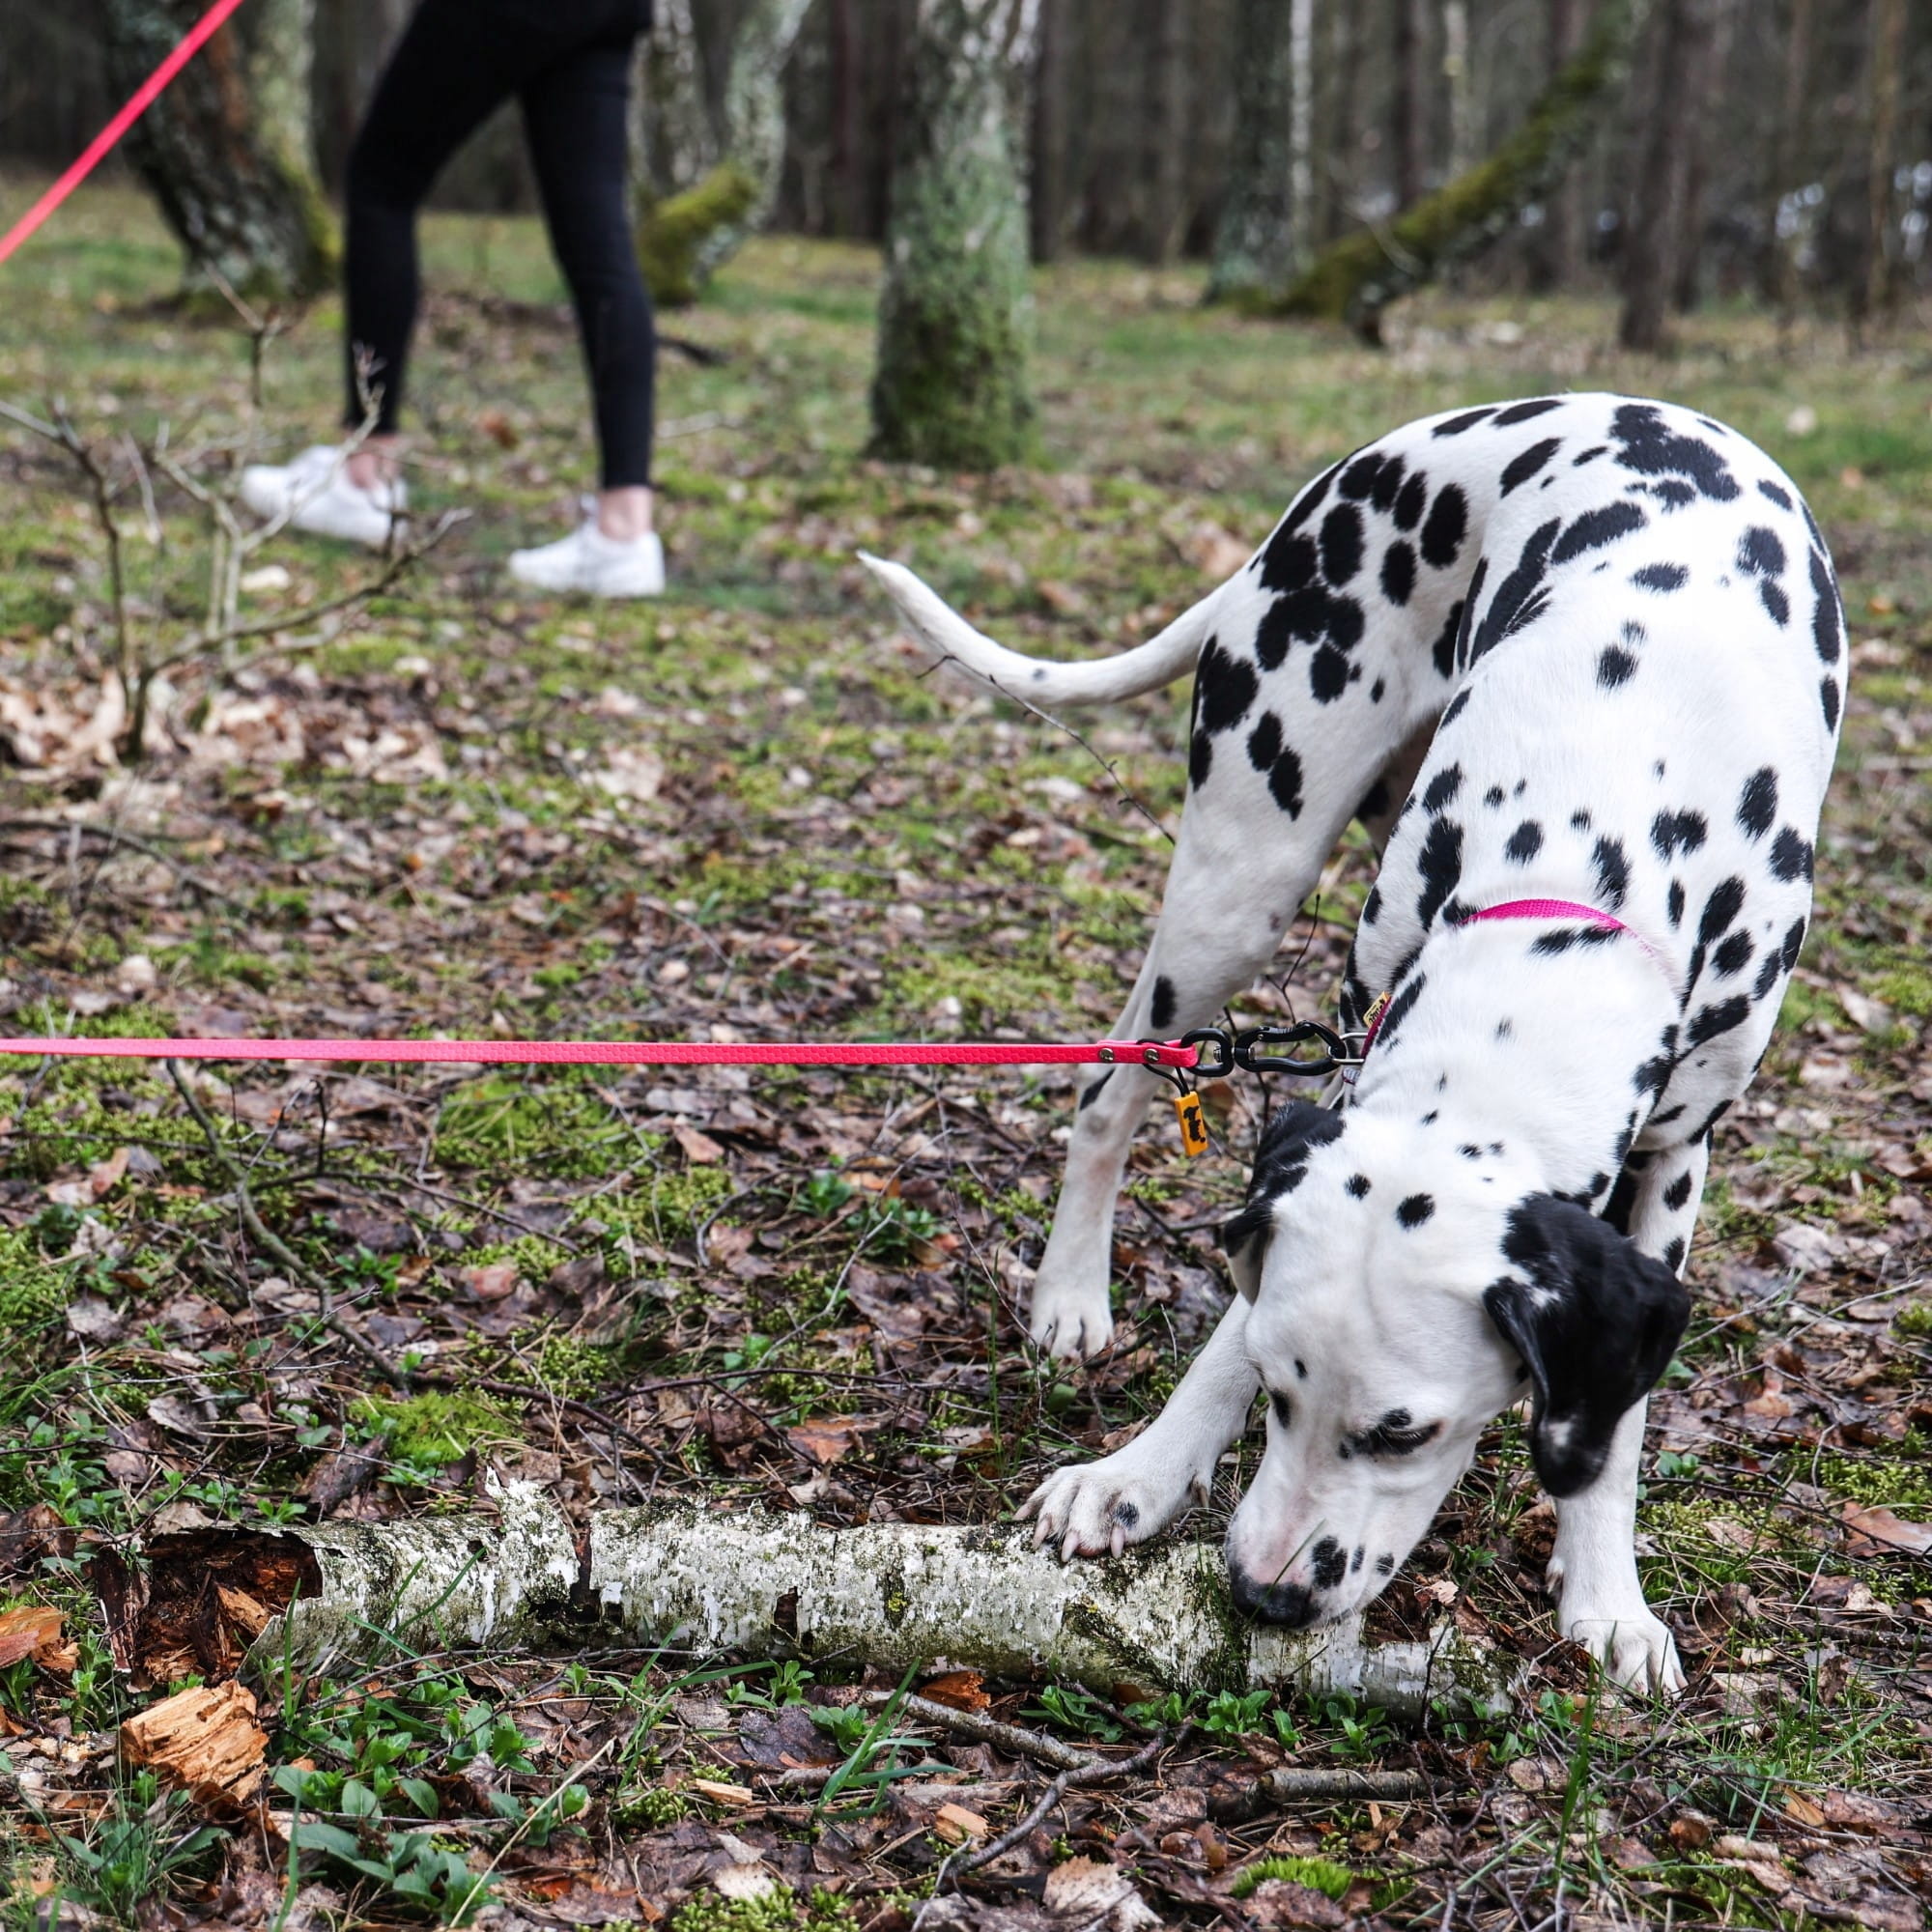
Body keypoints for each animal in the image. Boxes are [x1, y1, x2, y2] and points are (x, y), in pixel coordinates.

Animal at [860, 394, 1844, 1692]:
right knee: (1110, 1088)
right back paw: (1068, 1296)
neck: (1595, 845)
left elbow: (1617, 1417)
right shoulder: (1351, 1062)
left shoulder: (1676, 1156)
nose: (1263, 1593)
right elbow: (1228, 1325)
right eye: (1280, 1392)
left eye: (1402, 1431)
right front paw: (1137, 1476)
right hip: (1238, 881)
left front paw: (1606, 1593)